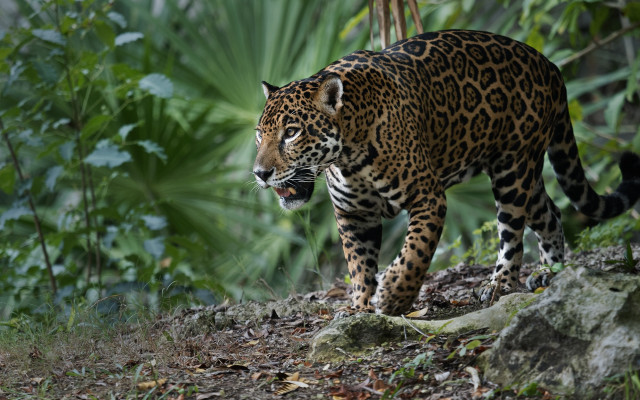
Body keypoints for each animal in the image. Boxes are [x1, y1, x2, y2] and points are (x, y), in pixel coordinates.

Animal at [253, 30, 640, 316]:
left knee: (512, 233)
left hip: (513, 169)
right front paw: (361, 307)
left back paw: (500, 283)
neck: (349, 155)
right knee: (551, 213)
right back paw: (550, 273)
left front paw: (393, 295)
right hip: (524, 173)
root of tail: (550, 65)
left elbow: (415, 253)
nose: (259, 173)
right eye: (259, 134)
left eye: (291, 132)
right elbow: (359, 265)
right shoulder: (353, 214)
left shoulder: (428, 196)